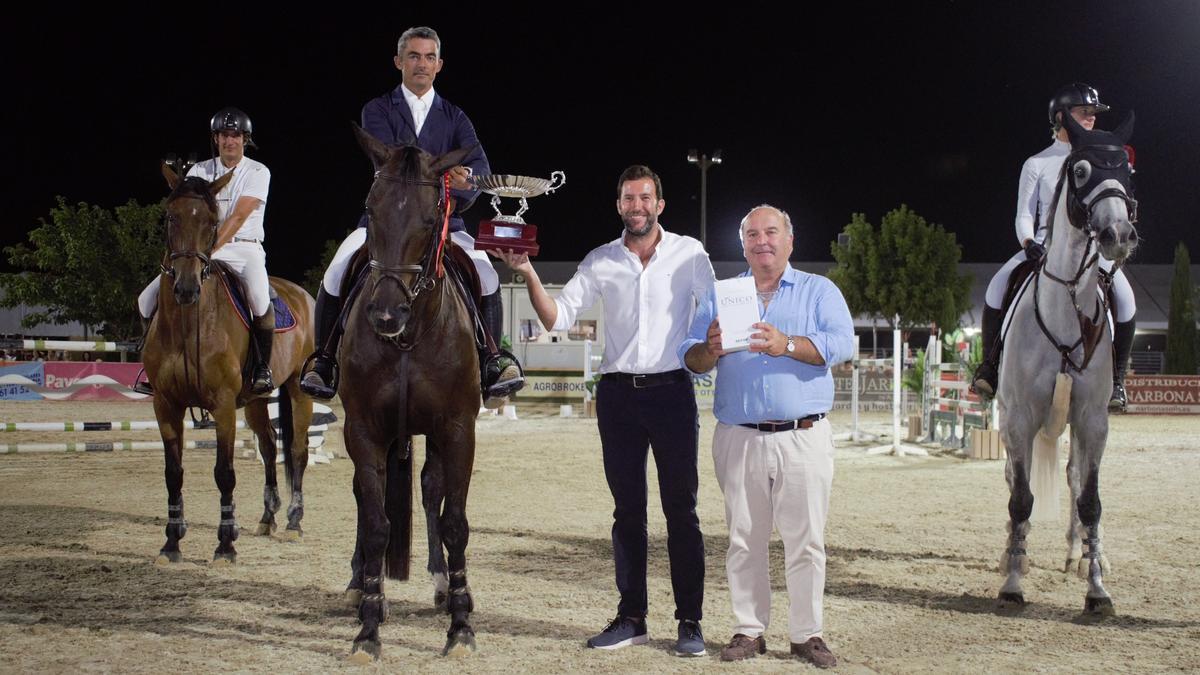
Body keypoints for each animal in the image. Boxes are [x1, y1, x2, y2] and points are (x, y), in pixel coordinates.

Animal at [141, 163, 314, 562]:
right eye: (170, 217)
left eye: (211, 221)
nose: (187, 288)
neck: (190, 323)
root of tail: (303, 295)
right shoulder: (165, 404)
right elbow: (173, 472)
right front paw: (172, 541)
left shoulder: (221, 406)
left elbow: (225, 472)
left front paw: (225, 544)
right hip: (255, 400)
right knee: (269, 446)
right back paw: (267, 519)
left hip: (299, 390)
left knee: (297, 451)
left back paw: (294, 523)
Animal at [338, 128, 477, 658]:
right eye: (370, 208)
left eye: (431, 218)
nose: (384, 315)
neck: (410, 336)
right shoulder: (362, 429)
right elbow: (377, 522)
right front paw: (368, 628)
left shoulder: (457, 429)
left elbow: (455, 521)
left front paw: (461, 626)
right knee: (364, 497)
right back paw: (359, 584)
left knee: (431, 488)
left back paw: (444, 586)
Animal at [998, 110, 1137, 614]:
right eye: (1080, 171)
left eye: (1127, 171)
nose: (1118, 236)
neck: (1064, 311)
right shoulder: (1018, 418)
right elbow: (1021, 499)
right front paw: (1013, 580)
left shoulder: (1093, 419)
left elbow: (1090, 500)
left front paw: (1097, 590)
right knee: (1015, 482)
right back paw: (1012, 557)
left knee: (1076, 478)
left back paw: (1080, 555)